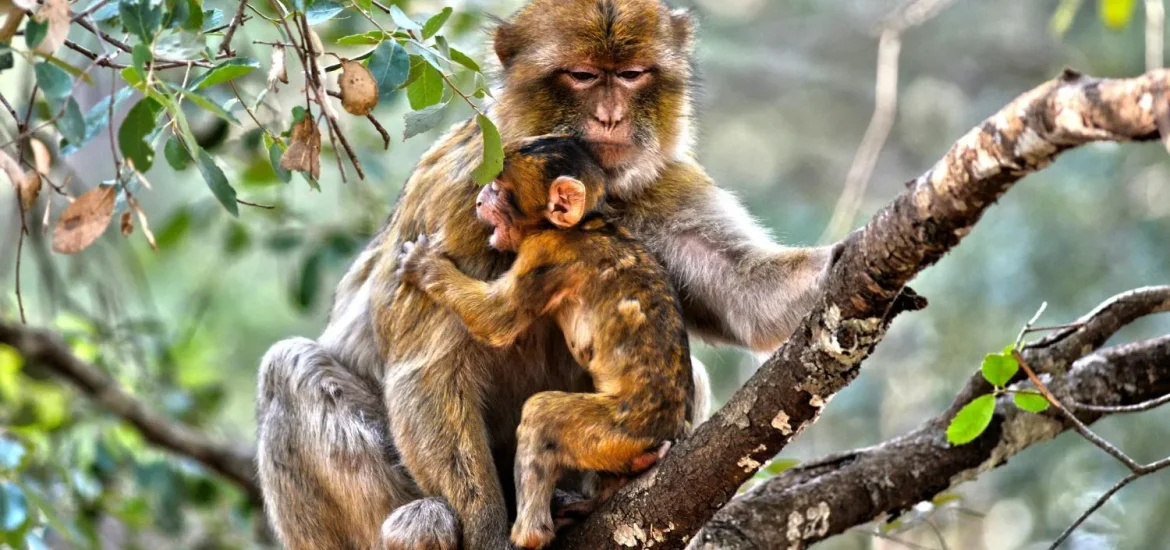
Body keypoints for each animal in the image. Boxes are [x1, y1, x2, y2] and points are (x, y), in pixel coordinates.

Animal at [396, 135, 694, 548]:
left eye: (499, 189)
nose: (479, 200)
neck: (585, 224)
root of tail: (674, 426)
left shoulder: (546, 252)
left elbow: (498, 319)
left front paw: (426, 267)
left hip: (625, 427)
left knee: (541, 416)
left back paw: (531, 535)